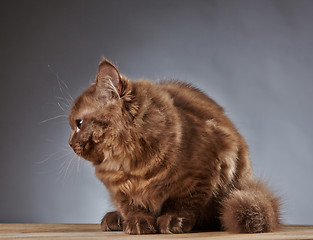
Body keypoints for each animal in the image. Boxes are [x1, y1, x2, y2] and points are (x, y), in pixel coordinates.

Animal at [69, 58, 280, 234]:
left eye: (79, 124)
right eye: (73, 125)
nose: (70, 143)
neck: (129, 162)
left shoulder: (205, 171)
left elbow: (183, 202)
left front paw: (172, 221)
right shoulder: (119, 190)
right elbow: (131, 206)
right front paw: (138, 223)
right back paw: (114, 219)